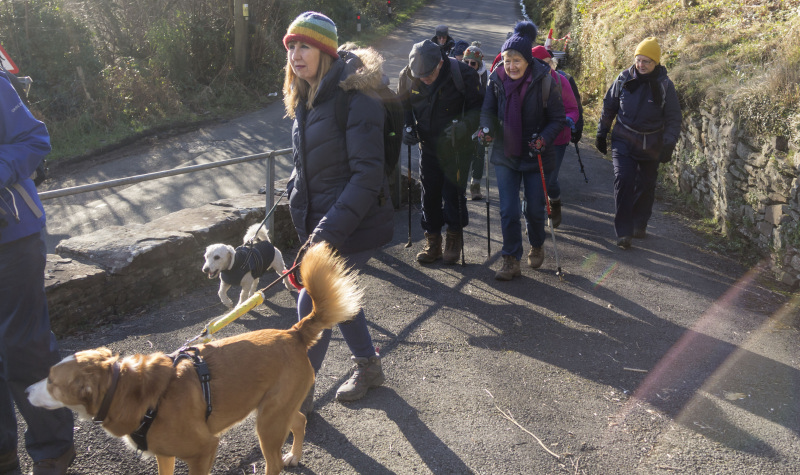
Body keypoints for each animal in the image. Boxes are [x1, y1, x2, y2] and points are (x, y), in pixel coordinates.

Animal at [25, 244, 362, 474]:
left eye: (52, 382)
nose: (26, 391)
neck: (126, 387)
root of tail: (294, 333)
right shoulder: (164, 454)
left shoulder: (203, 450)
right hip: (273, 410)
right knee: (300, 420)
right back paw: (295, 455)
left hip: (268, 422)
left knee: (274, 462)